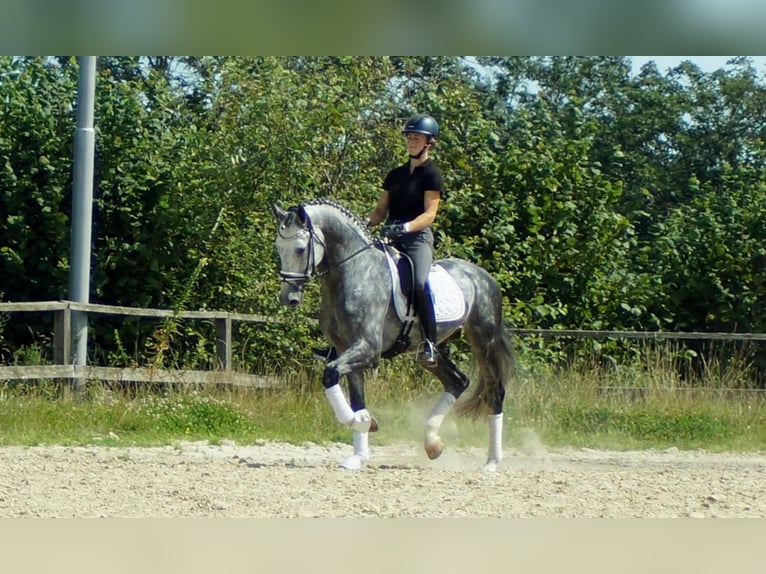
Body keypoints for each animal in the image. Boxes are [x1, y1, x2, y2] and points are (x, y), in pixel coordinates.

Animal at [270, 199, 516, 472]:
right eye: (278, 248)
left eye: (300, 249)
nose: (288, 298)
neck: (353, 272)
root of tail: (483, 275)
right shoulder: (347, 349)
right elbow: (356, 398)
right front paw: (359, 451)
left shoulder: (368, 350)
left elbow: (330, 373)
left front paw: (364, 422)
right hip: (429, 352)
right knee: (458, 381)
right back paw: (433, 443)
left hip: (483, 340)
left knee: (495, 392)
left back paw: (491, 462)